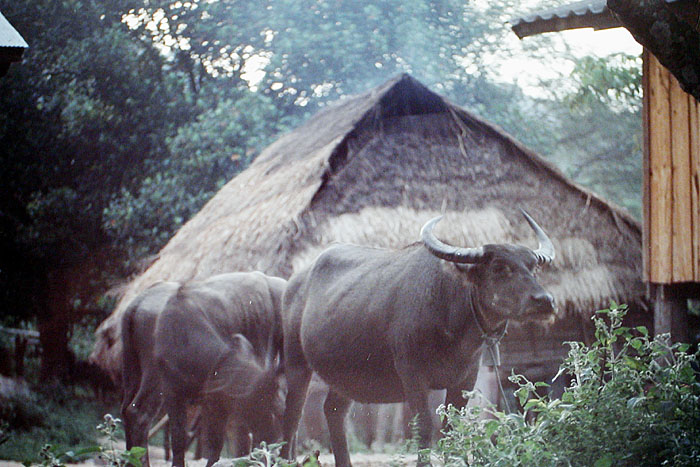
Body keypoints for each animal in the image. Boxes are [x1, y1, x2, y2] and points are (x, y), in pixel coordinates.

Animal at [121, 272, 287, 467]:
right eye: (265, 407)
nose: (273, 438)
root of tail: (137, 303)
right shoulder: (176, 392)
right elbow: (184, 439)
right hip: (153, 380)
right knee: (139, 414)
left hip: (132, 375)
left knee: (126, 411)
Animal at [281, 210, 556, 466]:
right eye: (499, 267)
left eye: (532, 266)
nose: (545, 301)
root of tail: (293, 284)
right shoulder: (412, 375)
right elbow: (423, 428)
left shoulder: (466, 378)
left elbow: (451, 429)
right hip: (296, 363)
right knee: (292, 415)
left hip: (347, 377)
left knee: (333, 410)